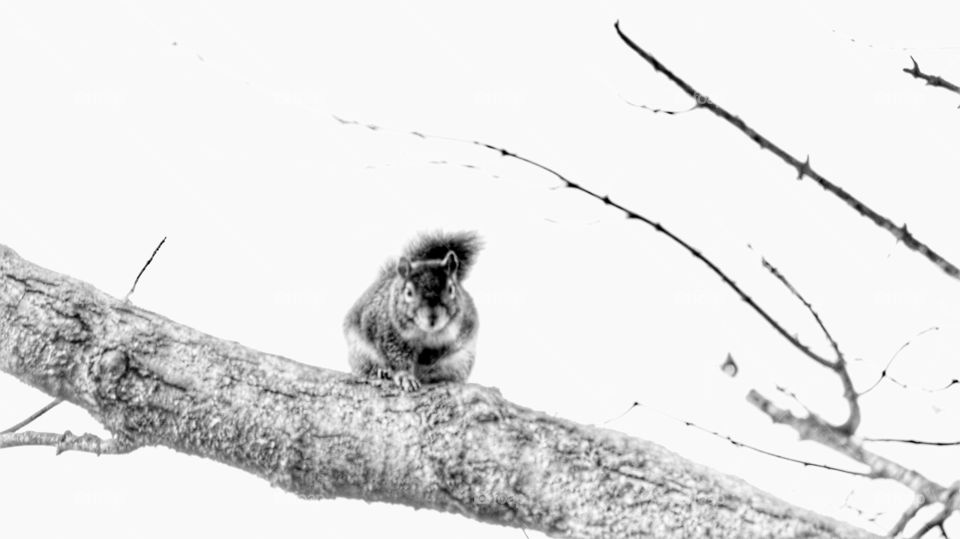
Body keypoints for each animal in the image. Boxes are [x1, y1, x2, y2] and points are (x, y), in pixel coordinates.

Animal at [344, 231, 482, 392]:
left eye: (451, 289)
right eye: (409, 292)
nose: (432, 318)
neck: (427, 333)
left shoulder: (464, 328)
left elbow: (448, 349)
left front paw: (429, 357)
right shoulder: (390, 332)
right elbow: (398, 356)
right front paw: (406, 378)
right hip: (360, 353)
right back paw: (382, 371)